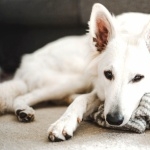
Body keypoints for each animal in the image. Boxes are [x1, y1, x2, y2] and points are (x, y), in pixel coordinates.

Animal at [0, 3, 150, 142]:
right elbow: (81, 99)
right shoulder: (99, 89)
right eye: (108, 74)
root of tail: (27, 59)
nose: (113, 119)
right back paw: (23, 110)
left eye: (138, 77)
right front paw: (63, 122)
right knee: (23, 96)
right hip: (76, 79)